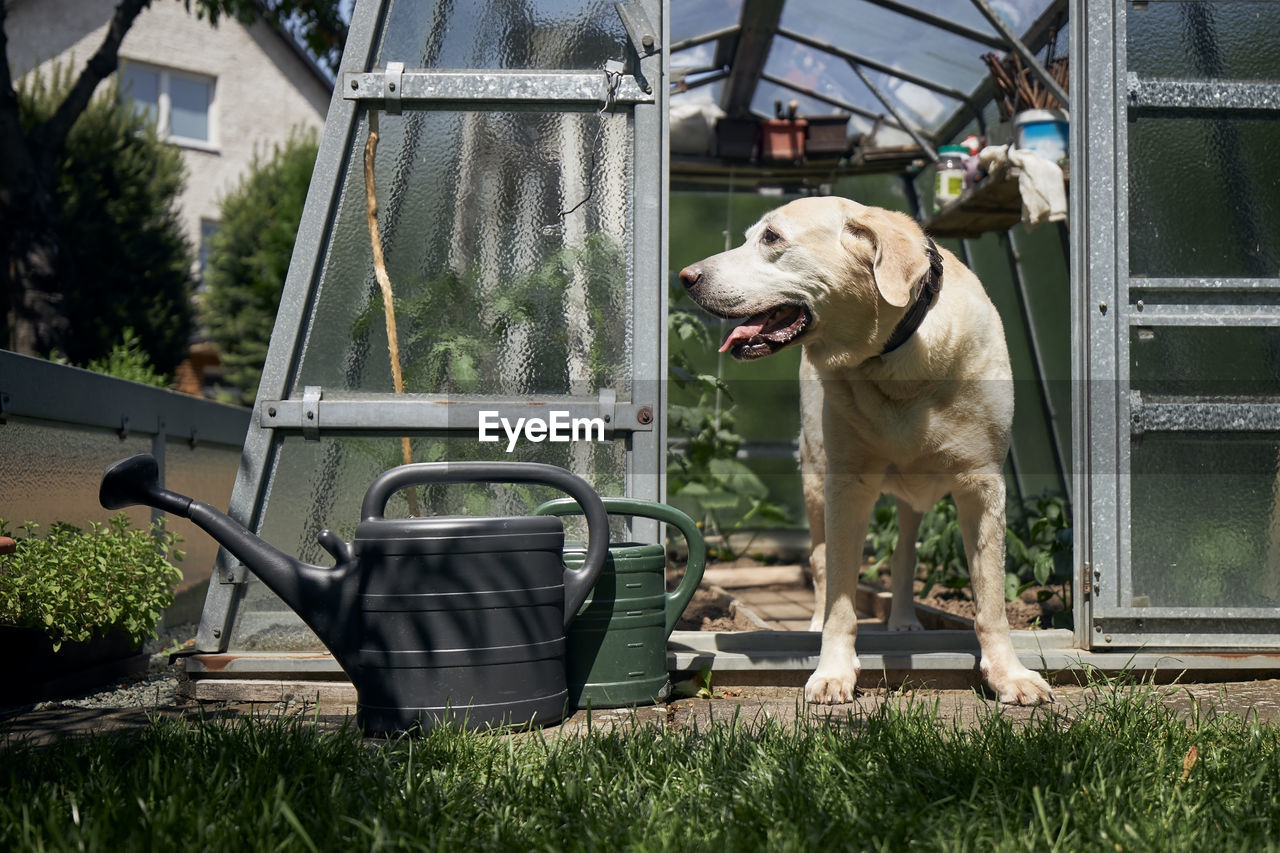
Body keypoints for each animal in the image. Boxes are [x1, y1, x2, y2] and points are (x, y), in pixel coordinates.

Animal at [680, 195, 1049, 701]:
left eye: (771, 238)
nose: (685, 277)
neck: (895, 356)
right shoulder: (846, 484)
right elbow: (841, 596)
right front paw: (833, 671)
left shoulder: (982, 483)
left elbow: (990, 598)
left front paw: (1010, 675)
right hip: (816, 477)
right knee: (820, 561)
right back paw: (817, 623)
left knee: (905, 553)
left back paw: (905, 622)